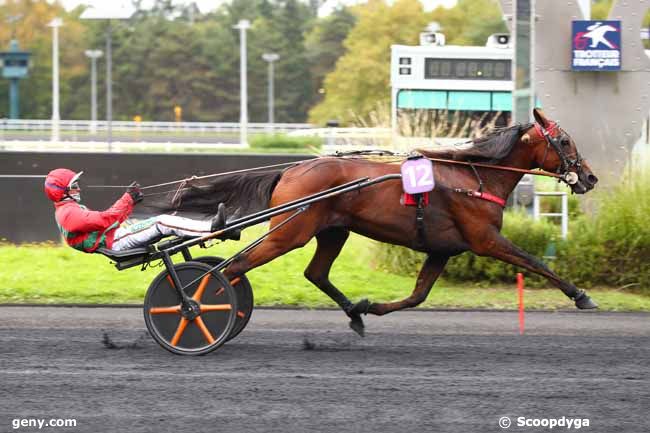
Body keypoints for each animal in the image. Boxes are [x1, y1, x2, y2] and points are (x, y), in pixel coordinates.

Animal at [157, 109, 596, 334]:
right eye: (565, 141)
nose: (590, 177)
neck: (474, 178)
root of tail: (291, 170)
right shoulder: (484, 240)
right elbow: (536, 262)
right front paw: (581, 295)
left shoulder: (443, 249)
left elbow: (418, 295)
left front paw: (371, 306)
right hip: (290, 232)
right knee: (234, 268)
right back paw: (193, 309)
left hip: (333, 231)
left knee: (314, 273)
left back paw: (352, 313)